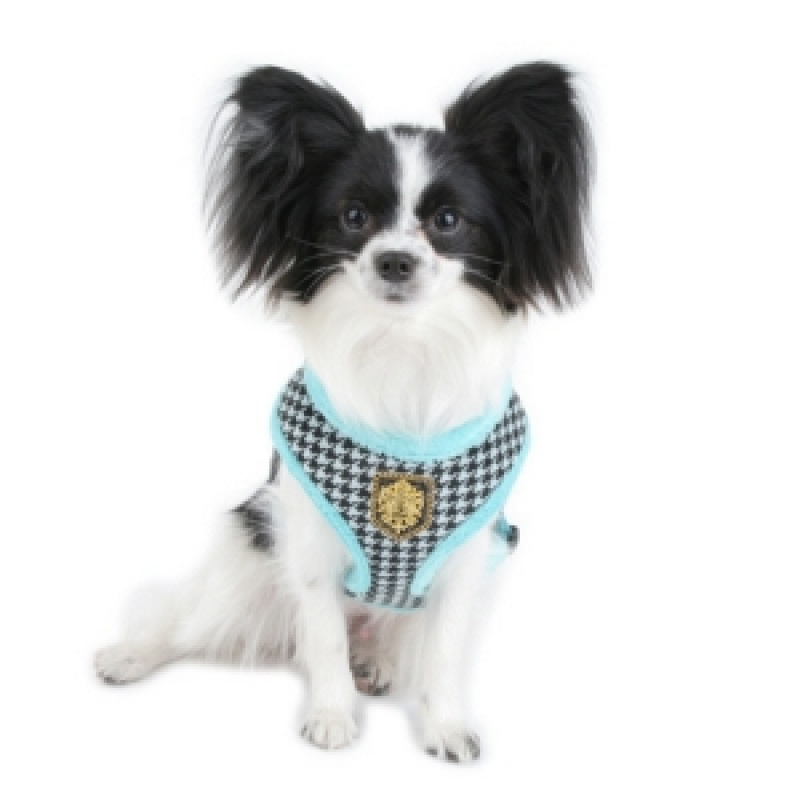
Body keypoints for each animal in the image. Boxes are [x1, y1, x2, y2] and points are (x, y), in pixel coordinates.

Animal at [95, 62, 592, 763]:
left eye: (448, 220)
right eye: (353, 217)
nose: (394, 260)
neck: (403, 345)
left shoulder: (467, 563)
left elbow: (443, 651)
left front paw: (445, 726)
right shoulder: (306, 543)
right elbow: (324, 634)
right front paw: (331, 715)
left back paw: (375, 663)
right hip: (249, 555)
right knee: (189, 621)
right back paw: (132, 655)